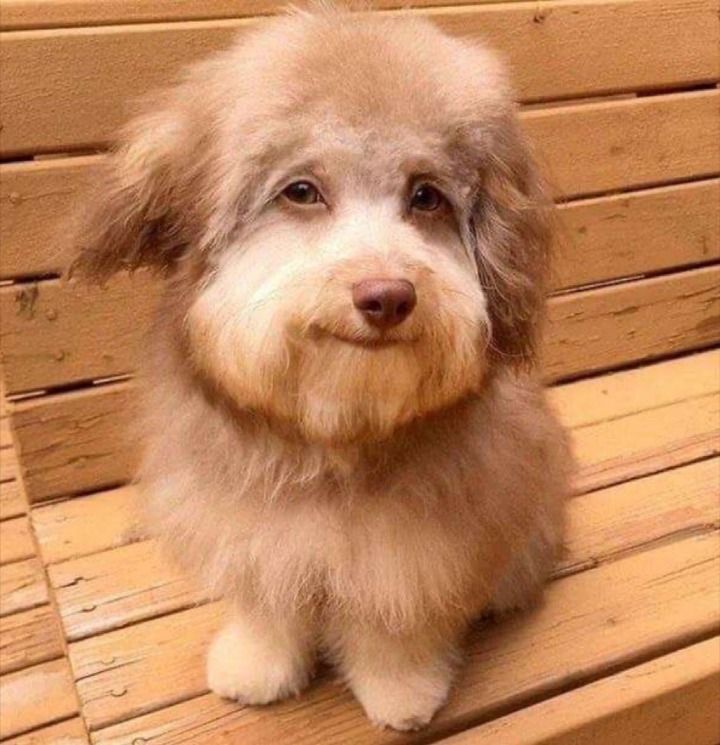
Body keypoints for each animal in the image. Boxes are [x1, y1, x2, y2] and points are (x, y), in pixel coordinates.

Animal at [70, 8, 572, 732]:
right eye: (301, 191)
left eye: (426, 197)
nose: (387, 295)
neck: (336, 429)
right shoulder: (253, 525)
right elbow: (267, 602)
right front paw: (256, 664)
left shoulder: (416, 549)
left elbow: (396, 619)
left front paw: (402, 690)